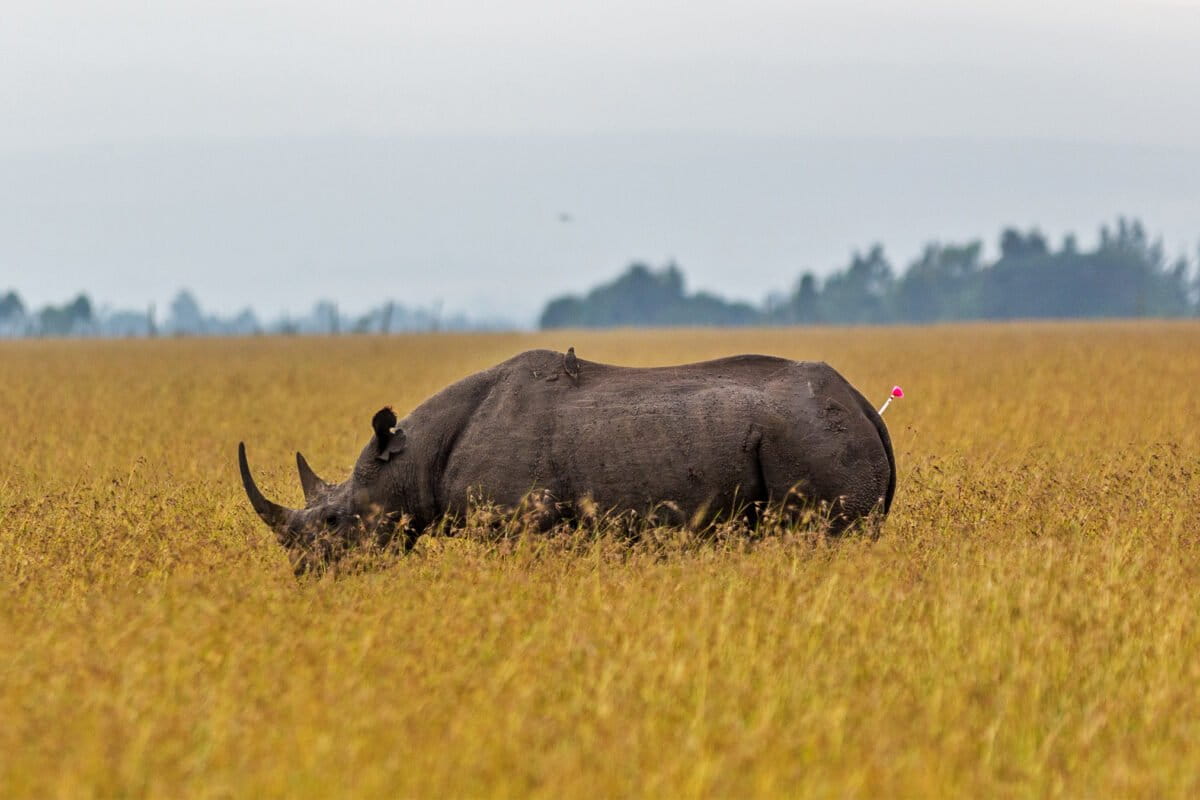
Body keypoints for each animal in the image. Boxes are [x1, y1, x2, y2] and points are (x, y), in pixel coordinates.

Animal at [236, 347, 892, 563]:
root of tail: (864, 404)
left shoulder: (517, 522)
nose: (304, 572)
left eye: (334, 521)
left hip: (816, 436)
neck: (407, 456)